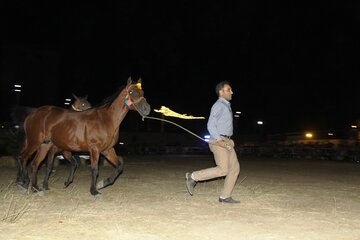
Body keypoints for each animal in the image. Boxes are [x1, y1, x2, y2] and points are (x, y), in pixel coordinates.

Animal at [17, 78, 150, 196]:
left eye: (143, 92)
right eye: (131, 92)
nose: (147, 109)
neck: (106, 120)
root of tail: (32, 115)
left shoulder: (107, 150)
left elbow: (119, 166)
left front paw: (102, 184)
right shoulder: (94, 150)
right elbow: (95, 170)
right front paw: (94, 191)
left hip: (45, 145)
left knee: (34, 164)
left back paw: (35, 188)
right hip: (34, 143)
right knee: (24, 158)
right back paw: (24, 183)